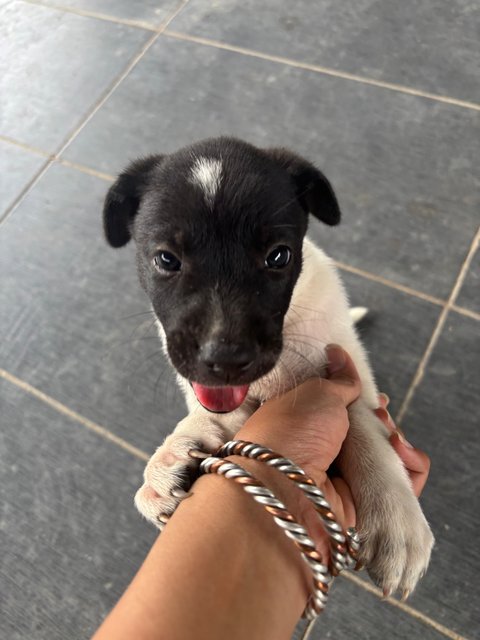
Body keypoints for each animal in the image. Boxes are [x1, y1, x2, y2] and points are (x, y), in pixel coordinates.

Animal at [104, 138, 436, 596]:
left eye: (279, 256)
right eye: (166, 260)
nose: (225, 360)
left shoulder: (344, 365)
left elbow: (361, 424)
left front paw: (395, 519)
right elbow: (210, 416)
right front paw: (170, 458)